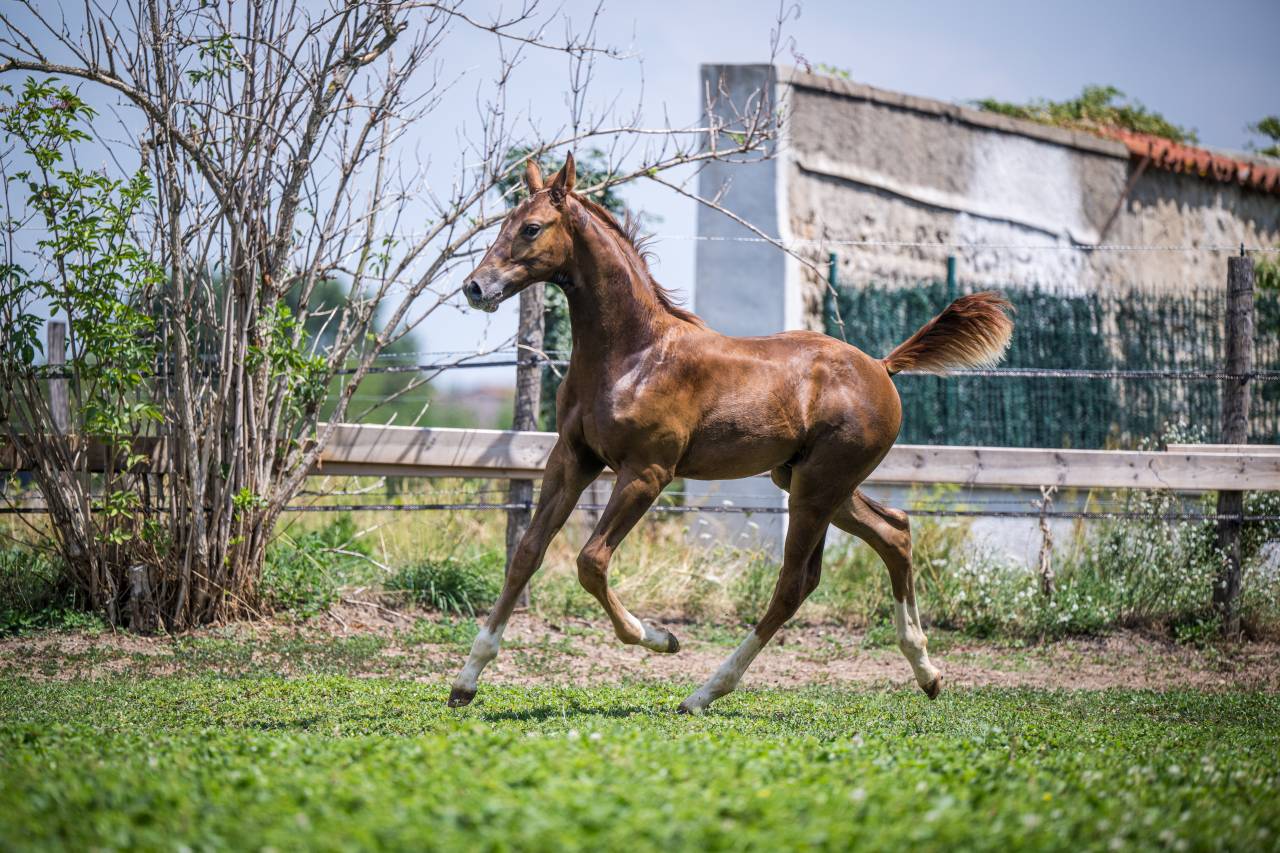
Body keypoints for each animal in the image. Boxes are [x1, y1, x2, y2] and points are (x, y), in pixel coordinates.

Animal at [449, 154, 1013, 713]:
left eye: (531, 227)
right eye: (504, 223)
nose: (475, 287)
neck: (632, 355)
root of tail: (881, 366)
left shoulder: (647, 473)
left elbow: (591, 561)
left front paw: (661, 638)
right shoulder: (572, 459)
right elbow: (526, 554)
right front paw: (466, 680)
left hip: (819, 486)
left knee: (793, 584)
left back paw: (705, 691)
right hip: (811, 482)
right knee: (893, 532)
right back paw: (927, 671)